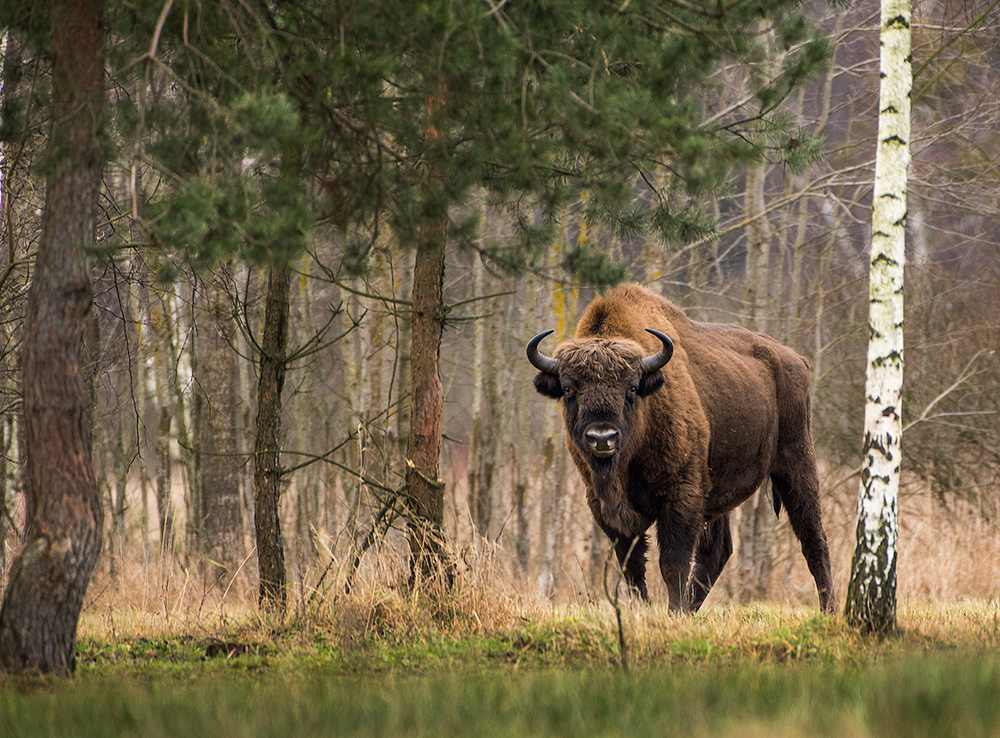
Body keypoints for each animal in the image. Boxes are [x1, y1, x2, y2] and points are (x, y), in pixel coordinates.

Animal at [532, 282, 836, 608]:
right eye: (568, 389)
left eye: (631, 388)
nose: (602, 437)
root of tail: (797, 360)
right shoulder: (603, 507)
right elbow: (632, 566)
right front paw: (643, 609)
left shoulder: (681, 496)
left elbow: (672, 563)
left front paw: (673, 611)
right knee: (718, 551)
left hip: (797, 462)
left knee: (814, 539)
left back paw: (828, 610)